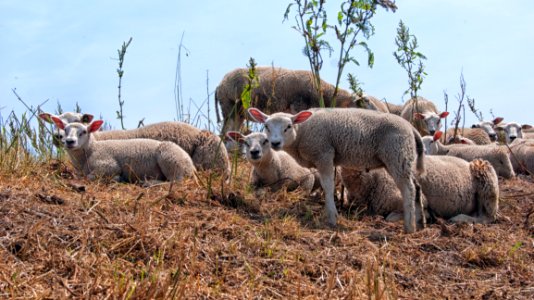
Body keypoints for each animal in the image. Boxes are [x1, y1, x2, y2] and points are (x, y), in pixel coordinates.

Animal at [49, 117, 197, 183]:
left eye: (84, 132)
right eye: (65, 130)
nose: (70, 141)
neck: (91, 149)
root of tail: (192, 166)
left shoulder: (108, 165)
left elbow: (90, 176)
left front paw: (117, 178)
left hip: (172, 160)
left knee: (176, 182)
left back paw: (148, 183)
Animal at [248, 106, 428, 233]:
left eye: (288, 126)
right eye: (266, 126)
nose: (275, 143)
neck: (302, 132)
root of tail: (411, 128)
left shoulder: (324, 153)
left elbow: (328, 185)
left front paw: (332, 217)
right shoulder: (328, 157)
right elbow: (328, 186)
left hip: (396, 154)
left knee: (408, 189)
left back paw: (409, 226)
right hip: (403, 159)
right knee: (417, 187)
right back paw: (420, 222)